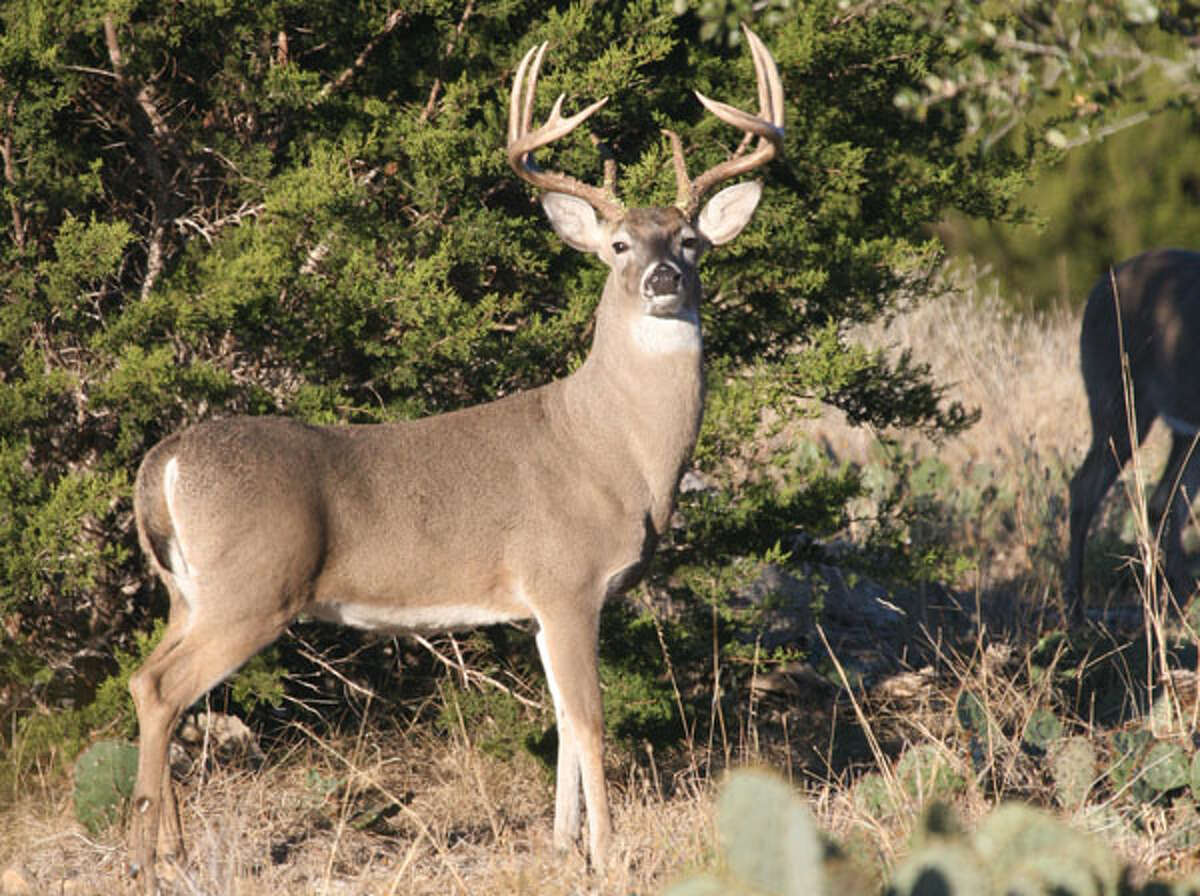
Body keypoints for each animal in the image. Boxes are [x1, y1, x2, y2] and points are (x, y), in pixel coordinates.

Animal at [1070, 248, 1200, 618]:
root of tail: (1100, 285)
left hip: (1181, 425)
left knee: (1164, 501)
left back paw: (1176, 600)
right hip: (1120, 403)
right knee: (1083, 488)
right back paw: (1075, 607)